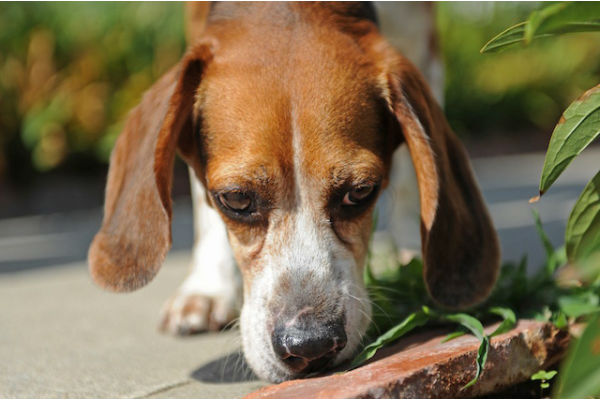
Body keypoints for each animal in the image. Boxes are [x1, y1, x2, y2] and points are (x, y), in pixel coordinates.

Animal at [88, 1, 502, 382]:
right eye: (236, 199)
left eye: (360, 192)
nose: (310, 345)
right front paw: (209, 286)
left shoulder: (422, 41)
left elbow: (411, 179)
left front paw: (414, 256)